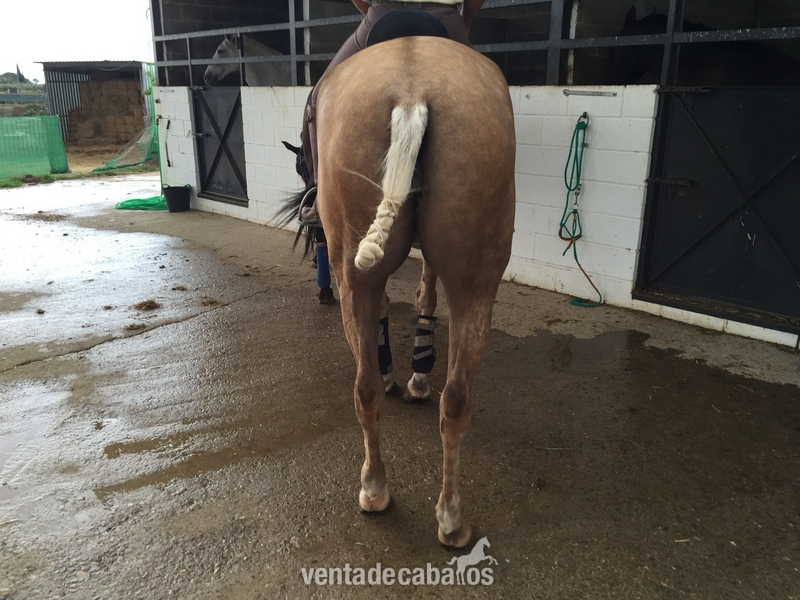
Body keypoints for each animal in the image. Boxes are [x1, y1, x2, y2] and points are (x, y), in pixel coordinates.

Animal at [302, 35, 516, 547]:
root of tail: (411, 92)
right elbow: (424, 295)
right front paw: (413, 372)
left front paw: (402, 372)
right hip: (475, 282)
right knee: (453, 399)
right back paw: (449, 518)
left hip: (355, 274)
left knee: (366, 389)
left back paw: (379, 490)